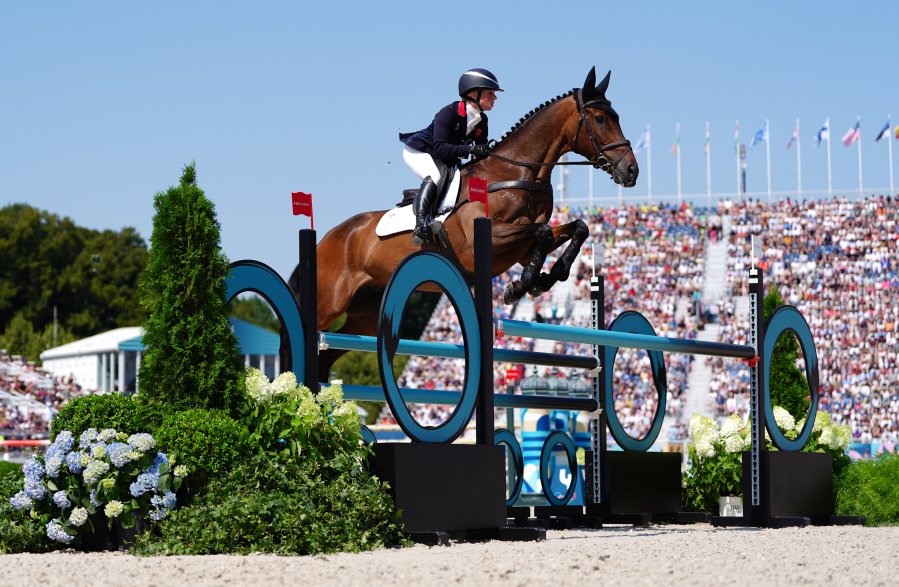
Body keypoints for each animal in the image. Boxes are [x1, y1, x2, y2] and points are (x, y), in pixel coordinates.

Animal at [292, 65, 636, 376]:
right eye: (601, 119)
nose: (631, 171)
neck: (516, 173)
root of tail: (328, 237)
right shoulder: (488, 240)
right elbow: (543, 233)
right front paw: (521, 285)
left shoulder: (521, 247)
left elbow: (575, 229)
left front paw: (545, 278)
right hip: (328, 303)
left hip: (363, 314)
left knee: (327, 355)